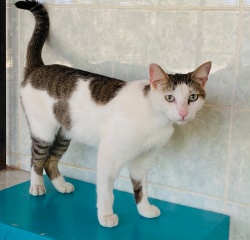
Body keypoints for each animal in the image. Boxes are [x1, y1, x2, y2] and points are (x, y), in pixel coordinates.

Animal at [15, 0, 211, 229]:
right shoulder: (109, 154)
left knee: (50, 160)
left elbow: (141, 187)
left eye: (192, 98)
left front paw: (144, 209)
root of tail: (39, 68)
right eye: (169, 98)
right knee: (37, 158)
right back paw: (36, 186)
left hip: (65, 132)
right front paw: (106, 216)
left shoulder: (143, 159)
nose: (182, 113)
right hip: (43, 130)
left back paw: (61, 185)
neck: (155, 118)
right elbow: (107, 192)